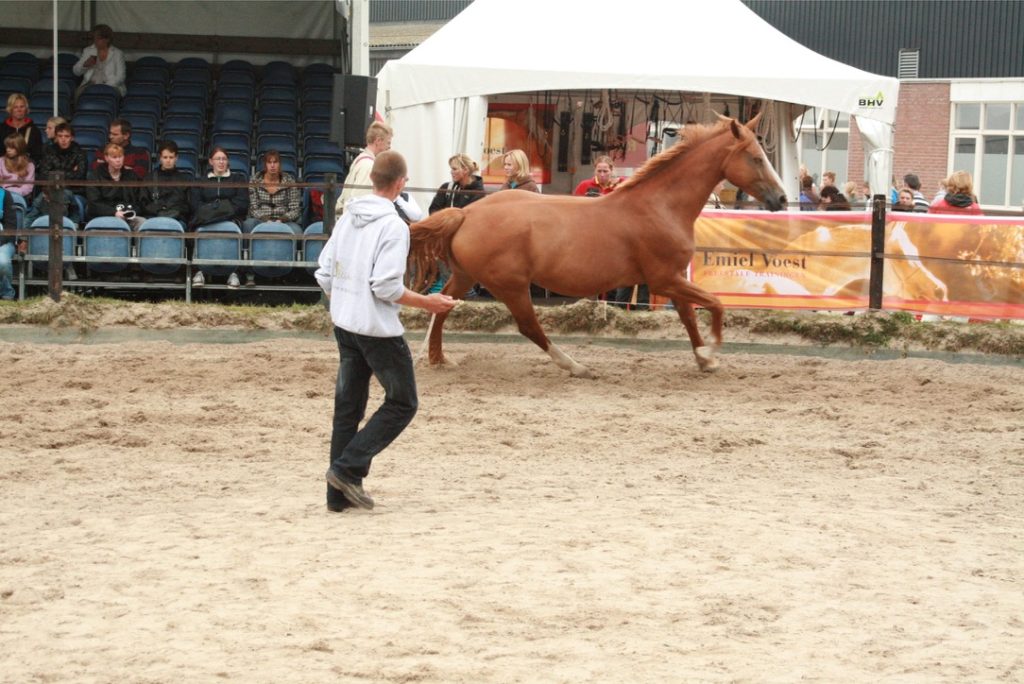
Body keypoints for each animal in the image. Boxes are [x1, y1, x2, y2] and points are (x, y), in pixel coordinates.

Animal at [409, 115, 787, 378]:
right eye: (756, 157)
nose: (781, 199)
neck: (660, 206)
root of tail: (465, 213)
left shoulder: (674, 279)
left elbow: (690, 316)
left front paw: (704, 360)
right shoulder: (665, 279)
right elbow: (716, 304)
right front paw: (712, 352)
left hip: (466, 276)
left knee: (442, 307)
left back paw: (439, 358)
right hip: (511, 285)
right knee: (528, 326)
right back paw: (576, 366)